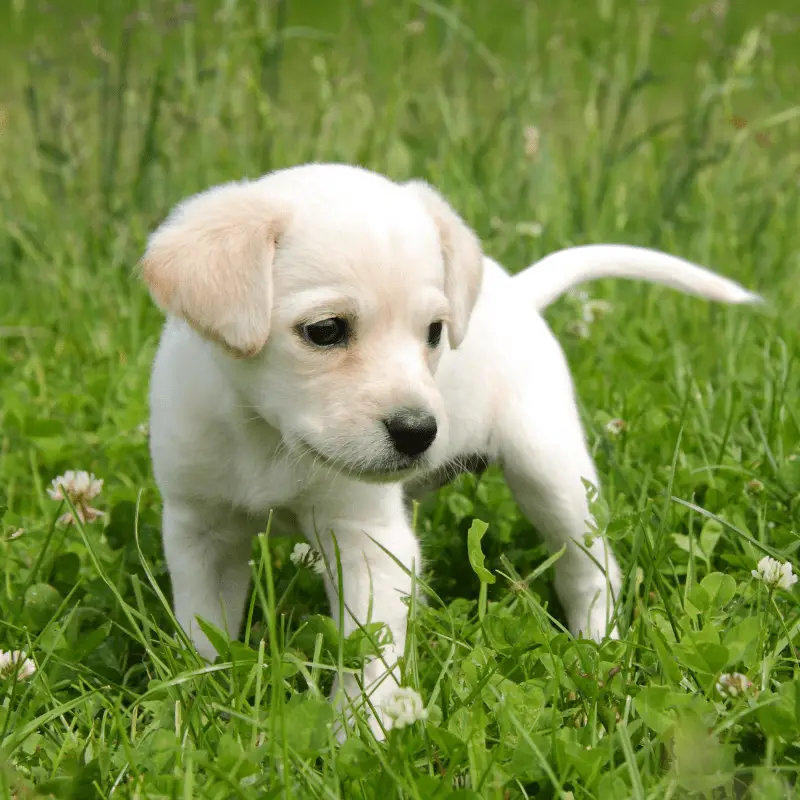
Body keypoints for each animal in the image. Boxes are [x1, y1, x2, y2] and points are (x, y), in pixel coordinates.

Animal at [141, 162, 760, 736]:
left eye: (434, 332)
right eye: (325, 330)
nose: (419, 432)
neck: (266, 438)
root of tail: (518, 293)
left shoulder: (370, 544)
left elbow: (371, 658)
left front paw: (358, 741)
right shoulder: (201, 535)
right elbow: (203, 634)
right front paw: (193, 709)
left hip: (550, 471)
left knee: (592, 568)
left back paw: (597, 645)